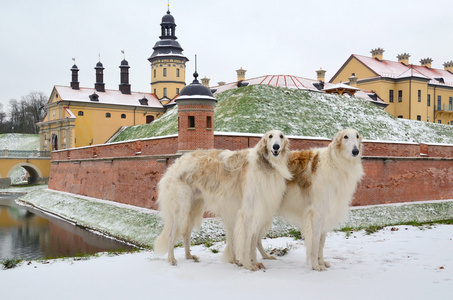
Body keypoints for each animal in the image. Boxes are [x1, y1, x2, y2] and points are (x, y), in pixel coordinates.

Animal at [154, 130, 292, 270]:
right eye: (270, 136)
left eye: (281, 136)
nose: (276, 147)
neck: (265, 164)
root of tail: (175, 164)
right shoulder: (247, 213)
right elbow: (246, 242)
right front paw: (249, 265)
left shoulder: (258, 211)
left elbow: (253, 243)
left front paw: (254, 262)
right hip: (181, 208)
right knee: (171, 235)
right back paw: (171, 258)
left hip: (193, 208)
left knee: (186, 233)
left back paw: (189, 256)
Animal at [258, 127, 364, 270]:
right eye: (345, 136)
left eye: (357, 136)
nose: (355, 151)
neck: (334, 162)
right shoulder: (316, 213)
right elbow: (314, 243)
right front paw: (315, 265)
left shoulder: (326, 212)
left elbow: (321, 243)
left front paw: (321, 262)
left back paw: (265, 256)